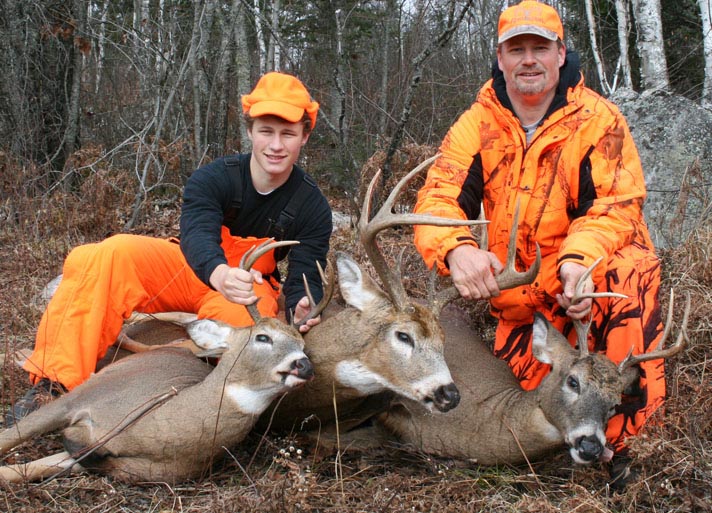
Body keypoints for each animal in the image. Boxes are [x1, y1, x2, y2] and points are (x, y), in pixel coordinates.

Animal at [0, 238, 318, 482]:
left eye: (304, 346)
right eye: (262, 337)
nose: (304, 365)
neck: (143, 430)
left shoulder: (103, 461)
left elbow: (17, 473)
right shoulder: (79, 400)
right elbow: (9, 437)